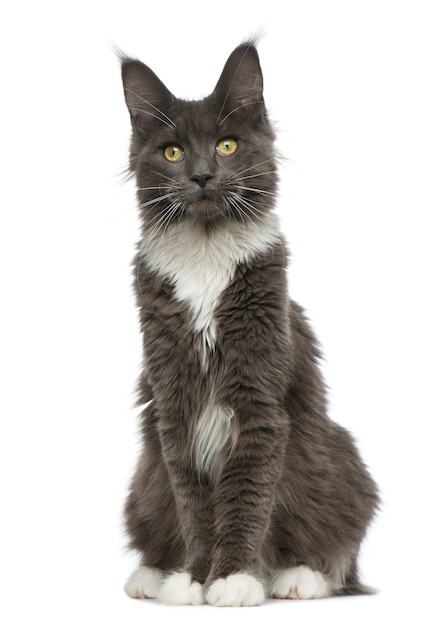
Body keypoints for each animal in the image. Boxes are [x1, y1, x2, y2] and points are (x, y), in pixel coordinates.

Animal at [119, 40, 378, 604]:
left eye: (228, 145)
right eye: (173, 153)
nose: (201, 176)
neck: (205, 250)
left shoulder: (260, 402)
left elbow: (247, 497)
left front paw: (233, 578)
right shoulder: (174, 408)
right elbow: (194, 504)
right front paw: (195, 578)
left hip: (337, 457)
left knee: (336, 550)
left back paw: (298, 577)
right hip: (144, 478)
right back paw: (151, 575)